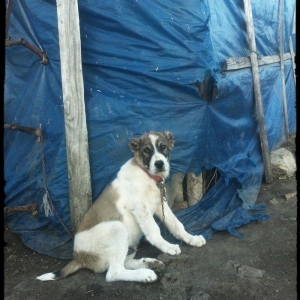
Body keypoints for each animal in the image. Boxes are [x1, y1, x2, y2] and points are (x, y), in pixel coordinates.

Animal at [37, 131, 206, 284]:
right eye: (146, 150)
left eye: (163, 146)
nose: (159, 164)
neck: (147, 175)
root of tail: (78, 256)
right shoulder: (140, 208)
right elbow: (154, 230)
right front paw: (167, 246)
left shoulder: (160, 203)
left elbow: (176, 224)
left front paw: (192, 239)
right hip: (117, 228)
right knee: (113, 273)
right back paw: (145, 274)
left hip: (129, 243)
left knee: (124, 263)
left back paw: (149, 263)